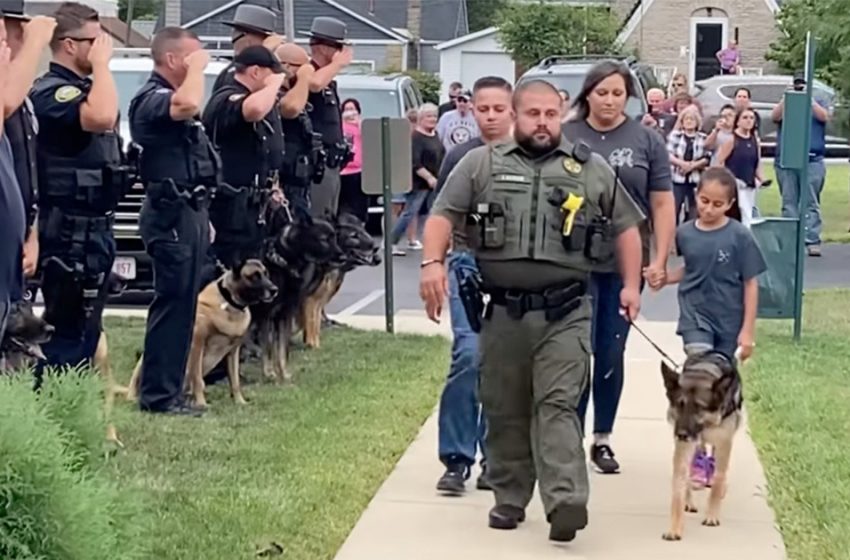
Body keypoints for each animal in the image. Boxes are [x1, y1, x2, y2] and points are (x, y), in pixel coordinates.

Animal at [126, 260, 278, 410]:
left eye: (266, 274)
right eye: (254, 276)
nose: (275, 290)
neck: (229, 302)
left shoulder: (233, 351)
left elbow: (235, 381)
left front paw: (240, 401)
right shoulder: (197, 345)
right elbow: (198, 380)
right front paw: (202, 403)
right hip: (143, 362)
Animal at [660, 352, 740, 540]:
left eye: (699, 407)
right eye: (679, 405)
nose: (681, 434)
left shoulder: (724, 443)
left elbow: (718, 480)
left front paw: (712, 515)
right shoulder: (684, 447)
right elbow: (678, 491)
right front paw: (674, 528)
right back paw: (689, 500)